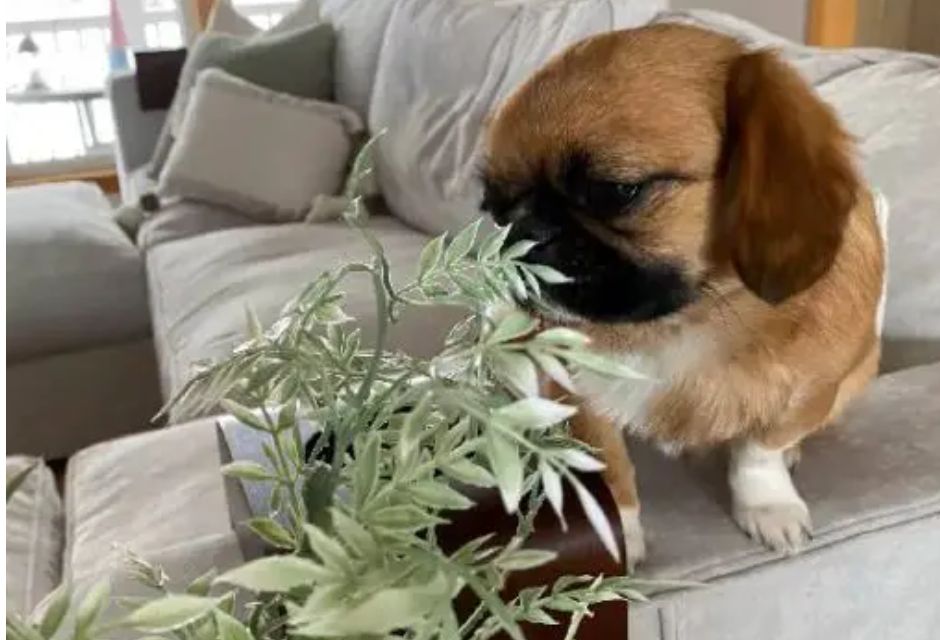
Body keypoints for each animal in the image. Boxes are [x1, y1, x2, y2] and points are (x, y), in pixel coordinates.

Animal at [482, 26, 884, 568]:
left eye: (618, 190)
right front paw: (622, 535)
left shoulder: (816, 387)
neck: (690, 319)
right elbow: (610, 471)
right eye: (495, 207)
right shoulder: (578, 396)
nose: (523, 233)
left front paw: (768, 503)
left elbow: (760, 449)